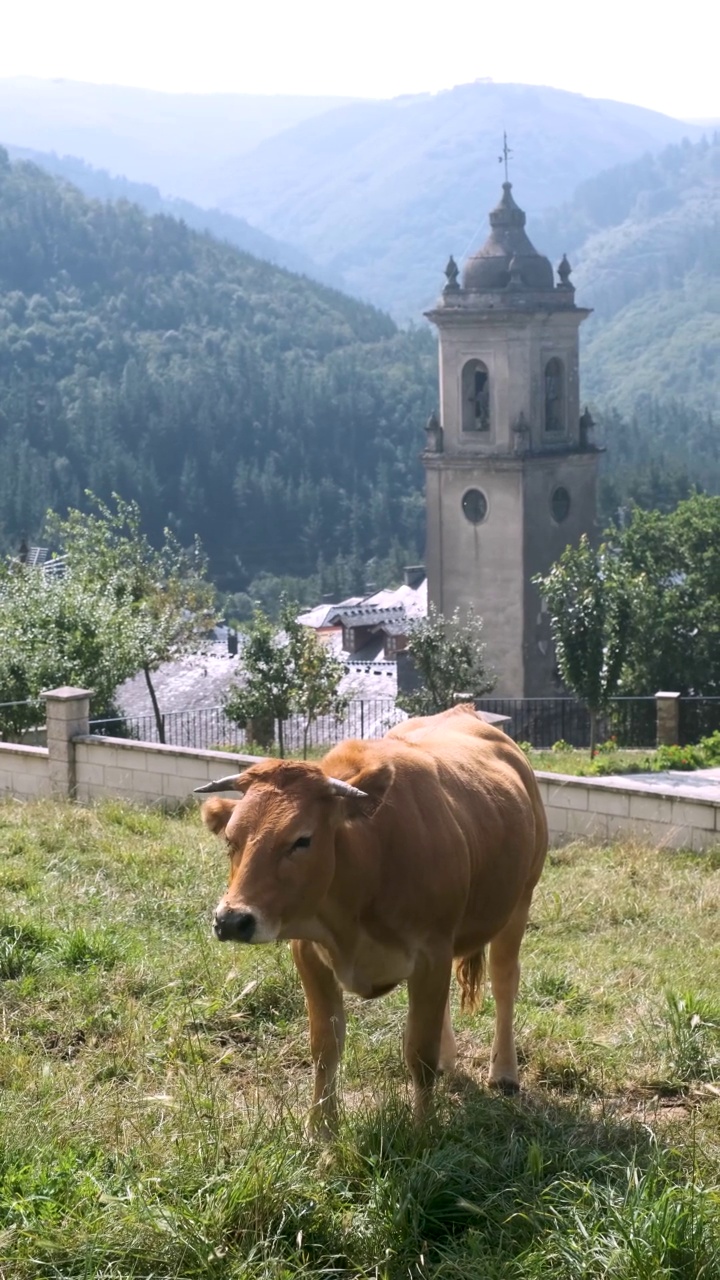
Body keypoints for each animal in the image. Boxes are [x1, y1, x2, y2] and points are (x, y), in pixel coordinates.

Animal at [196, 706, 543, 1136]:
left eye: (302, 839)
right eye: (231, 839)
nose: (232, 920)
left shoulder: (431, 953)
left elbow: (420, 1051)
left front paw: (422, 1129)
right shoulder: (309, 953)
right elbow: (325, 1046)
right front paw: (321, 1129)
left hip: (520, 901)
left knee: (504, 981)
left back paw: (505, 1072)